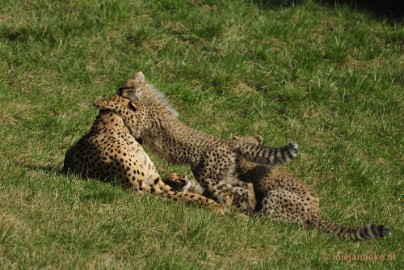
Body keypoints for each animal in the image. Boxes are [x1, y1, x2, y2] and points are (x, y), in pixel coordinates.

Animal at [93, 72, 298, 213]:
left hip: (208, 175)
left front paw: (102, 101)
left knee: (228, 193)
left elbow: (122, 109)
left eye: (124, 87)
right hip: (220, 173)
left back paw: (222, 206)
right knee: (245, 185)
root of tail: (227, 142)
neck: (146, 97)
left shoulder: (139, 121)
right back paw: (247, 203)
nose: (117, 89)